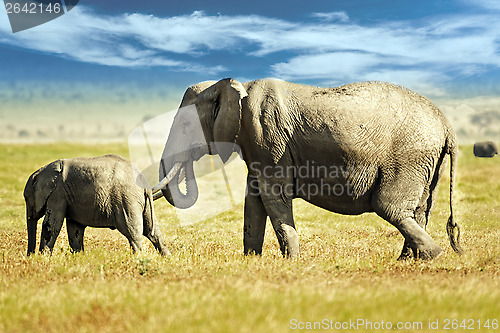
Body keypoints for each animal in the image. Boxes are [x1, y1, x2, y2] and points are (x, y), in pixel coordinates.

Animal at [23, 153, 170, 254]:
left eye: (26, 198)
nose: (30, 256)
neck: (43, 171)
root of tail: (145, 184)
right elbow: (75, 230)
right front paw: (78, 257)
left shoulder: (57, 194)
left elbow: (51, 225)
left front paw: (44, 258)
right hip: (140, 202)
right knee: (153, 232)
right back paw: (166, 257)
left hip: (126, 200)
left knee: (132, 233)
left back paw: (139, 258)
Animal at [152, 78, 460, 260]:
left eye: (184, 125)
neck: (236, 85)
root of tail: (447, 126)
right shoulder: (257, 145)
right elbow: (254, 202)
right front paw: (251, 261)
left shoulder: (267, 137)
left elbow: (273, 197)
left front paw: (292, 262)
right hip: (428, 164)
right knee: (420, 210)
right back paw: (411, 260)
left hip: (409, 158)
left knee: (390, 207)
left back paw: (435, 256)